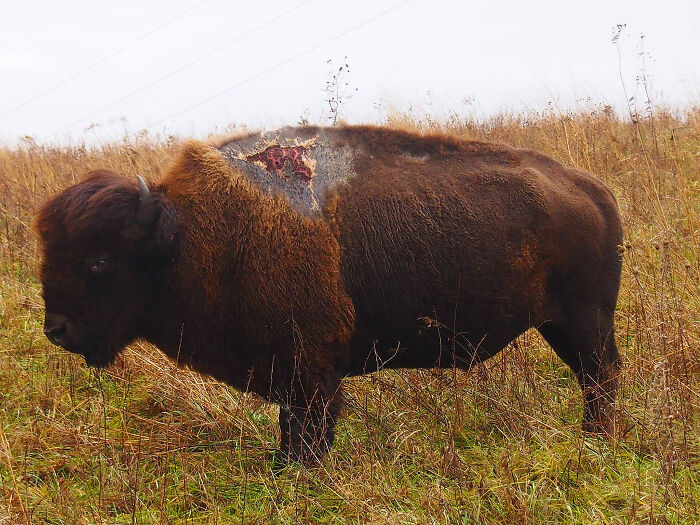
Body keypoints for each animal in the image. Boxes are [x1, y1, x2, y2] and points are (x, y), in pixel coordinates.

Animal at [35, 125, 623, 463]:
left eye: (99, 260)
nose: (56, 329)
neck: (186, 234)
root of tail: (591, 190)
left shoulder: (311, 371)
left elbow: (308, 429)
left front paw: (299, 473)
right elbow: (290, 429)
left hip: (585, 321)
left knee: (602, 375)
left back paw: (597, 439)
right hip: (561, 325)